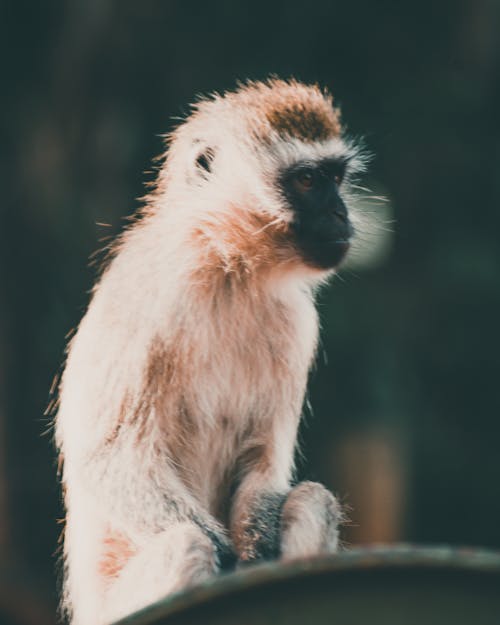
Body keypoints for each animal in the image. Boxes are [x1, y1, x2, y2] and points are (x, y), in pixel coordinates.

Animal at [55, 79, 368, 624]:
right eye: (308, 181)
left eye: (336, 177)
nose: (339, 214)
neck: (229, 268)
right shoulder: (152, 296)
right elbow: (108, 458)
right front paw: (228, 567)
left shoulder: (297, 323)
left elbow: (263, 462)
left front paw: (258, 557)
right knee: (187, 544)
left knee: (311, 499)